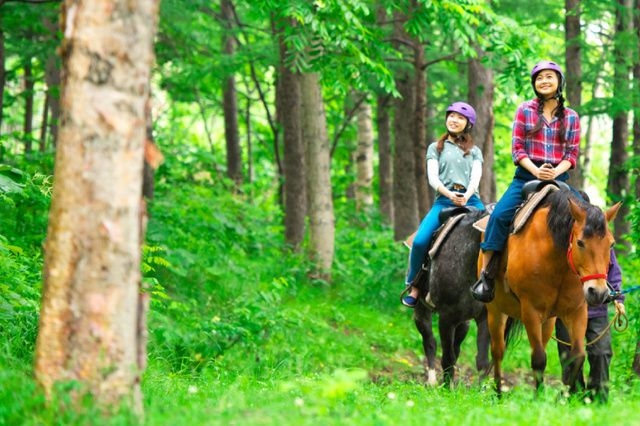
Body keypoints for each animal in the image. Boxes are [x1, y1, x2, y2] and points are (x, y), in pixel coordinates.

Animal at [410, 208, 490, 388]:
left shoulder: (484, 318)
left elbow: (482, 361)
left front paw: (481, 390)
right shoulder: (446, 318)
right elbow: (447, 357)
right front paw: (447, 388)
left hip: (464, 322)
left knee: (456, 347)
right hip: (421, 311)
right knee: (430, 342)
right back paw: (432, 381)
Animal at [484, 190, 620, 396]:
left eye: (611, 245)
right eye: (580, 242)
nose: (598, 292)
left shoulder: (577, 311)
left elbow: (577, 356)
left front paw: (564, 395)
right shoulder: (530, 311)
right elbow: (539, 358)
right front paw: (538, 397)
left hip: (548, 321)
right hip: (495, 310)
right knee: (498, 351)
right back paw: (498, 394)